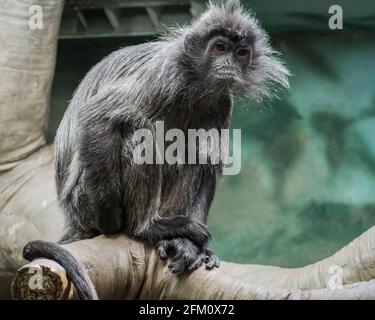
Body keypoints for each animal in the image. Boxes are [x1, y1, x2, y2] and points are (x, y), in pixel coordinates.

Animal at [22, 0, 290, 300]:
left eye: (242, 53)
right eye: (220, 48)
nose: (230, 63)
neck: (194, 84)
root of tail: (72, 217)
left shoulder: (221, 102)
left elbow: (207, 161)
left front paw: (190, 247)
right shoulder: (163, 75)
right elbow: (97, 118)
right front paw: (111, 222)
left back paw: (176, 240)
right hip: (83, 199)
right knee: (140, 134)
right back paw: (146, 227)